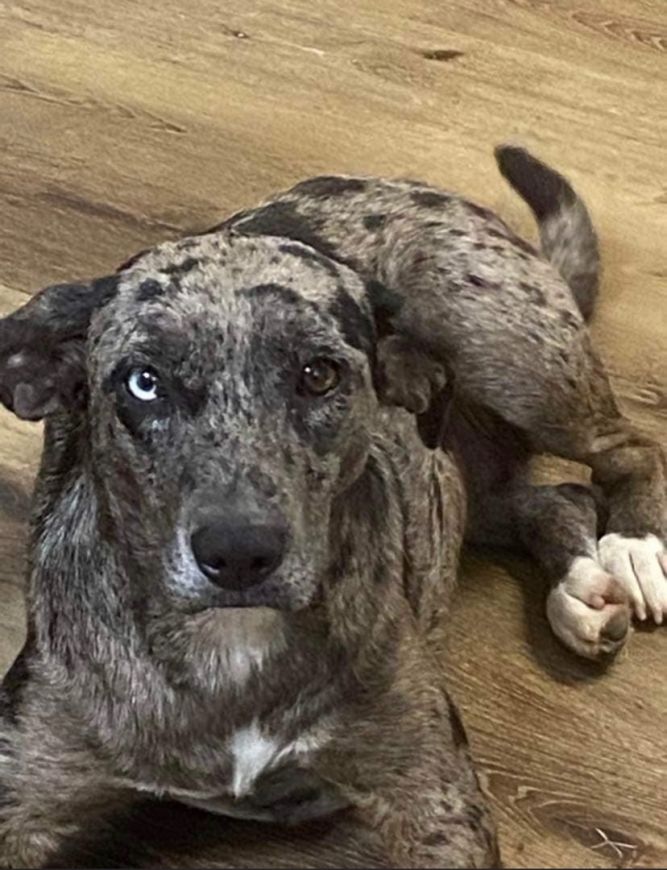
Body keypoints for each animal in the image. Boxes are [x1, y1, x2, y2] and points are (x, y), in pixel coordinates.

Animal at [0, 146, 664, 868]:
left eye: (319, 374)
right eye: (143, 382)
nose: (239, 552)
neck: (232, 643)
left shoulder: (435, 799)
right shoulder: (21, 791)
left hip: (510, 354)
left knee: (628, 448)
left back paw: (631, 550)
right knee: (553, 499)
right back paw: (581, 589)